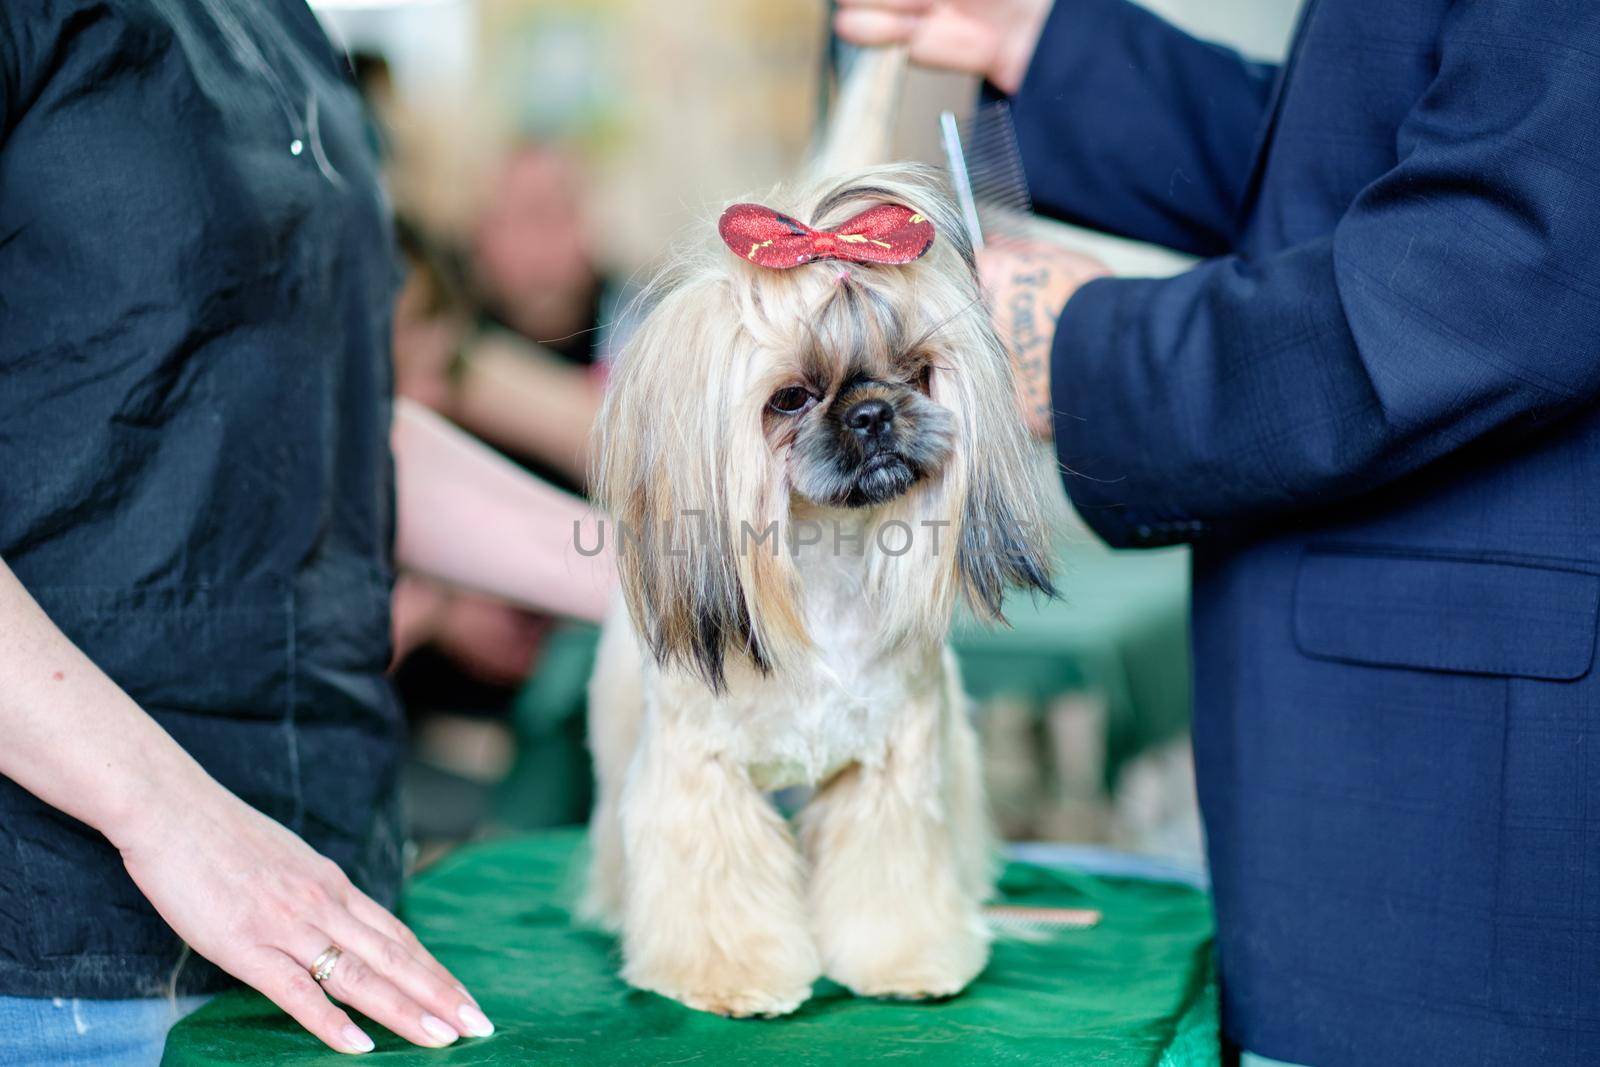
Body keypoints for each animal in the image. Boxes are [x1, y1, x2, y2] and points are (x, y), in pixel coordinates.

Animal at [582, 164, 1056, 1017]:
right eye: (791, 398)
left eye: (915, 370)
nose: (873, 412)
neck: (825, 572)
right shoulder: (700, 776)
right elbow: (711, 880)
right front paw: (729, 976)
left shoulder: (893, 766)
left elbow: (892, 878)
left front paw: (908, 960)